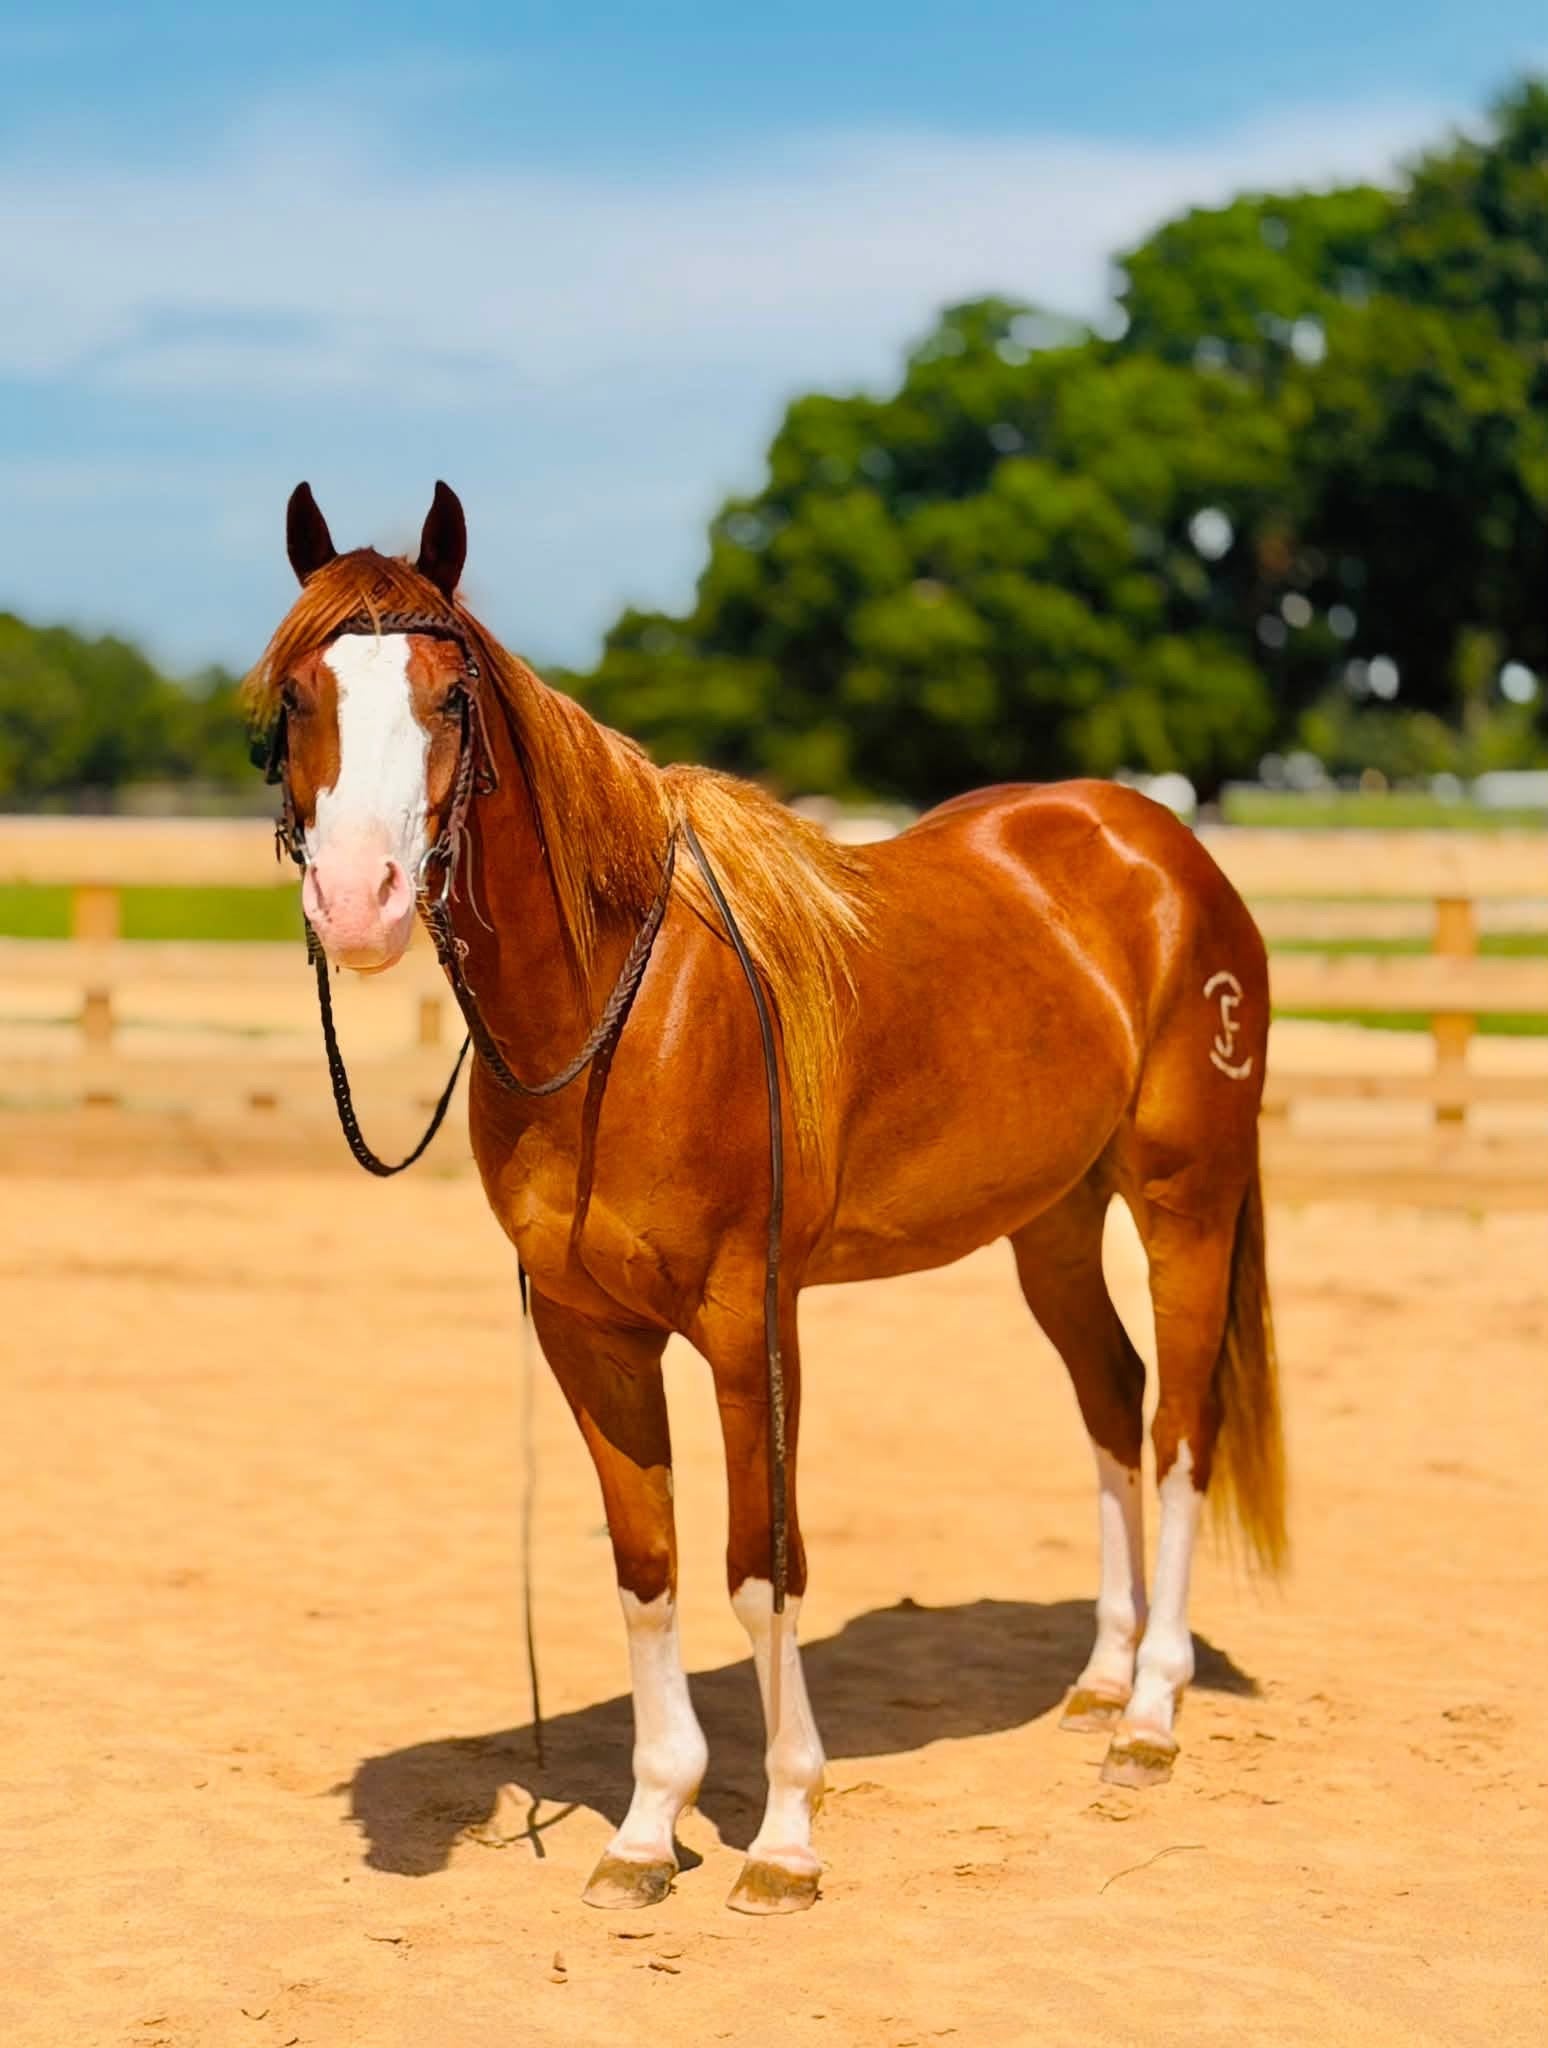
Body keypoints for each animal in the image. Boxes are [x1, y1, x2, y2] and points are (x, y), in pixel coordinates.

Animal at [252, 481, 1285, 1917]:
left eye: (449, 695)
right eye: (299, 695)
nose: (358, 904)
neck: (620, 1015)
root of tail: (1164, 851)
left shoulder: (754, 1325)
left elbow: (762, 1565)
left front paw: (786, 1835)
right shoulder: (588, 1334)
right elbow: (649, 1570)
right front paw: (646, 1830)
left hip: (1186, 1196)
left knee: (1183, 1428)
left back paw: (1148, 1717)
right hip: (1053, 1222)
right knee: (1113, 1401)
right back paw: (1098, 1678)